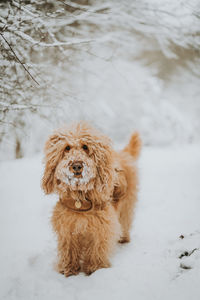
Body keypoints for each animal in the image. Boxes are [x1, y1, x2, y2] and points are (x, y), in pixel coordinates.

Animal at [41, 121, 141, 276]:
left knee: (125, 221)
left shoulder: (102, 226)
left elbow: (97, 248)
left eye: (85, 147)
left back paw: (124, 238)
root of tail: (122, 153)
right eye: (67, 148)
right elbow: (68, 248)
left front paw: (95, 268)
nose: (77, 166)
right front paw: (68, 268)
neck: (80, 198)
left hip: (127, 205)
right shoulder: (67, 226)